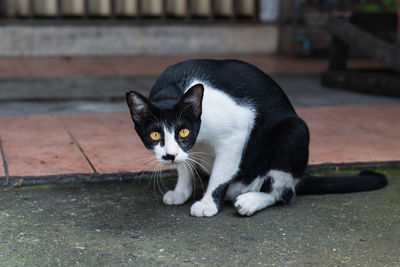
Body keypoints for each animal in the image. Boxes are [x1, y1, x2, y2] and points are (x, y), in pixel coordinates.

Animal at [126, 59, 388, 218]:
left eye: (183, 132)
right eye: (155, 134)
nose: (169, 155)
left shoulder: (239, 128)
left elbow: (220, 173)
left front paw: (208, 203)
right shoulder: (187, 150)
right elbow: (184, 166)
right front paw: (181, 191)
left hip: (294, 132)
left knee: (284, 193)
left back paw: (250, 201)